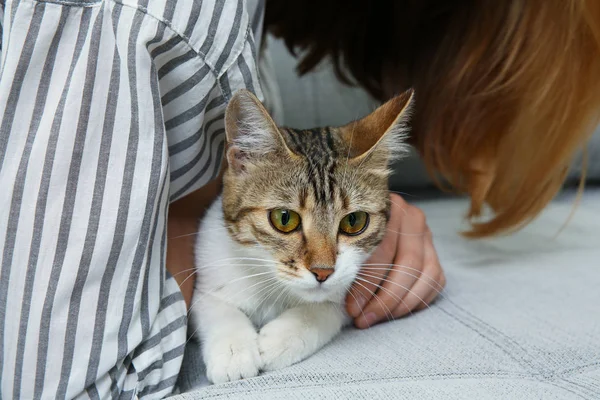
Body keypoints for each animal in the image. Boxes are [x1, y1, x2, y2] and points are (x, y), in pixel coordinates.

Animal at [191, 88, 412, 384]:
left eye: (354, 221)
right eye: (284, 218)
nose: (323, 271)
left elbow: (328, 307)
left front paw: (281, 338)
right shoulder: (211, 263)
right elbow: (215, 306)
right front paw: (232, 350)